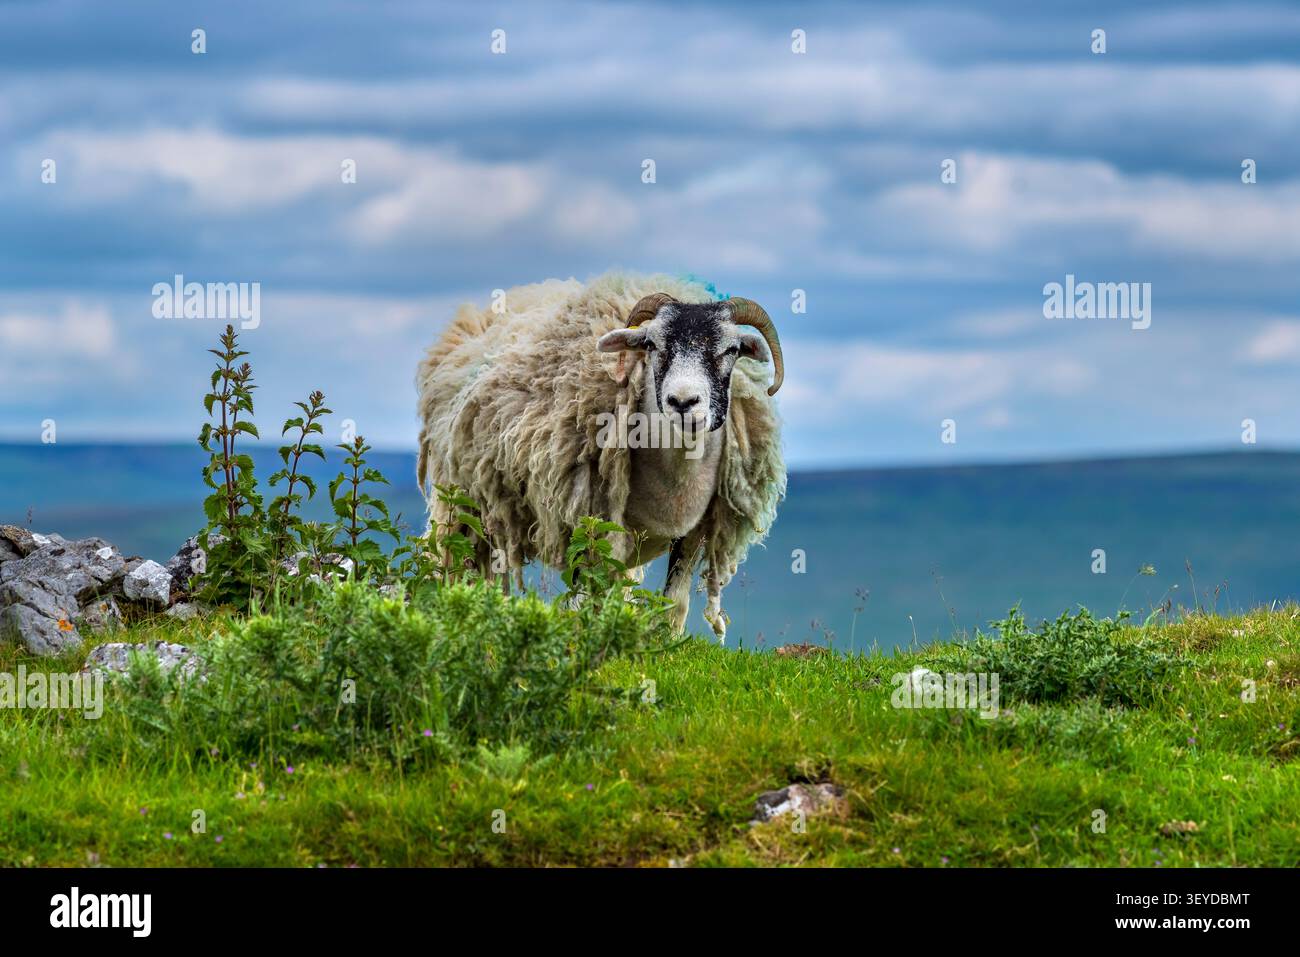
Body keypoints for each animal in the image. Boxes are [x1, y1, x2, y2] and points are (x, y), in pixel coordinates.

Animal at [415, 271, 785, 640]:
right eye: (651, 345)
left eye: (732, 349)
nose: (683, 402)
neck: (677, 482)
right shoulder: (589, 518)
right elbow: (586, 602)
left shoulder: (695, 531)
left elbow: (673, 606)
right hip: (466, 506)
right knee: (463, 566)